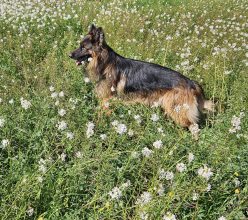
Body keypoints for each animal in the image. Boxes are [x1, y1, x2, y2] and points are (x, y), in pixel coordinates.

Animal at [69, 23, 213, 138]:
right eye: (79, 45)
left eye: (83, 47)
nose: (69, 55)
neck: (104, 64)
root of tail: (191, 82)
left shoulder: (106, 101)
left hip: (176, 110)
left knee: (194, 126)